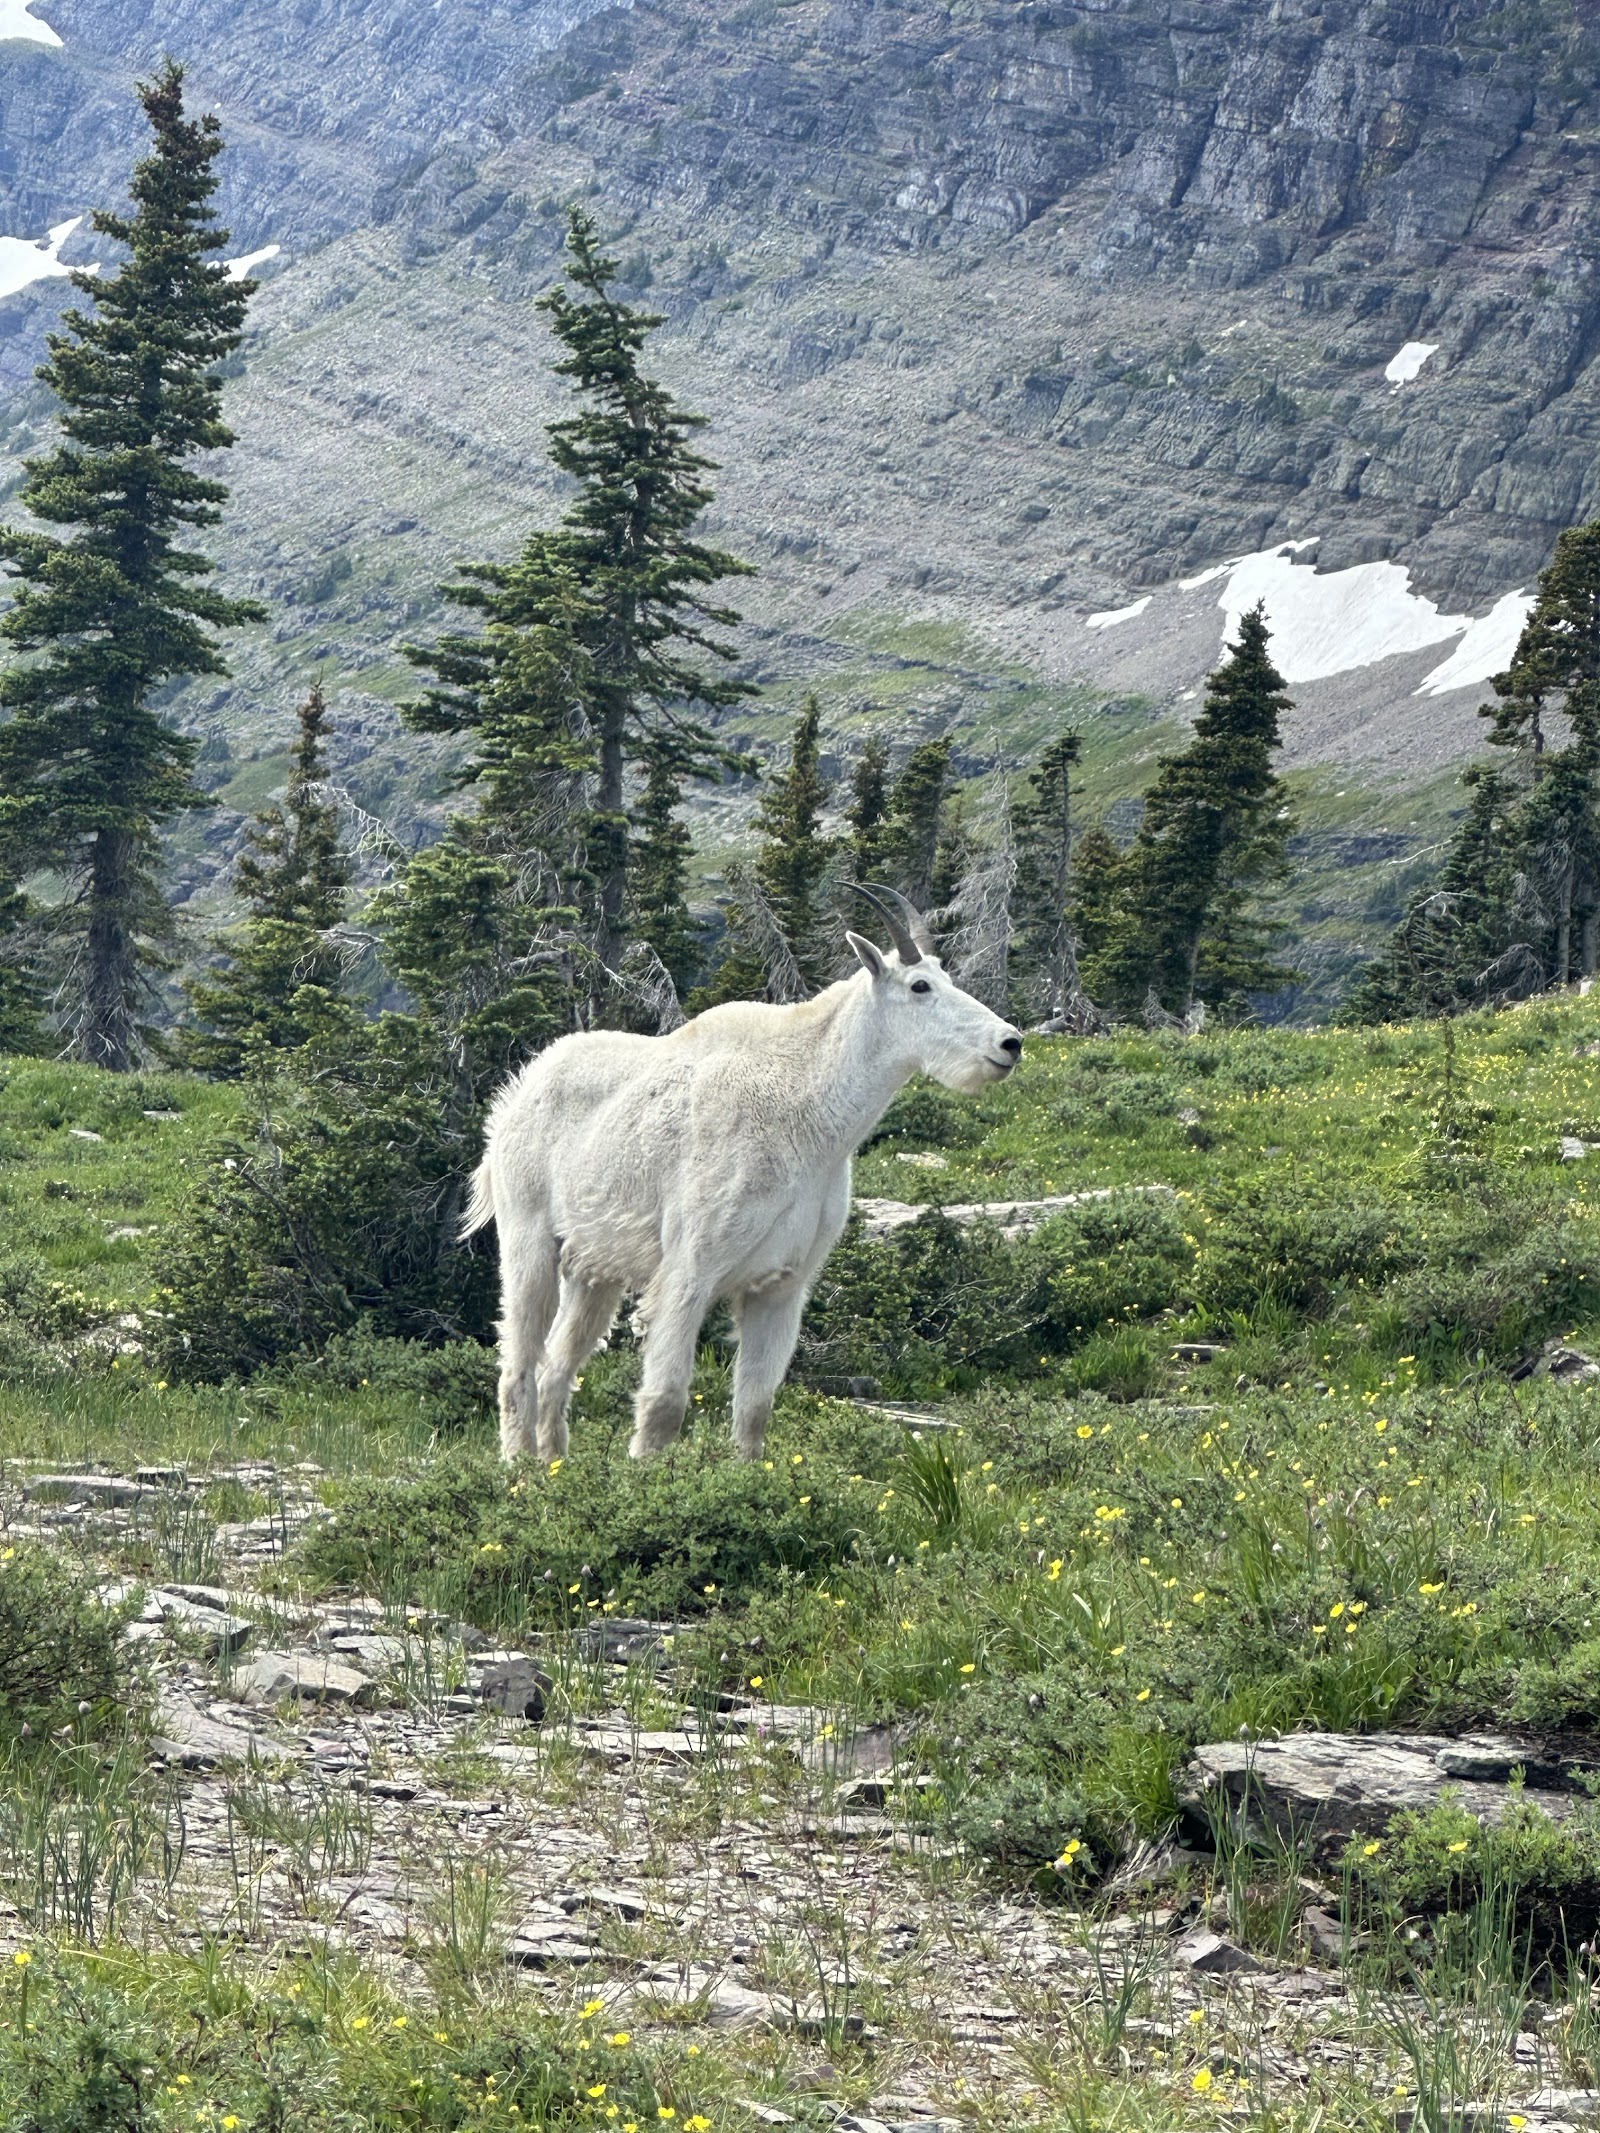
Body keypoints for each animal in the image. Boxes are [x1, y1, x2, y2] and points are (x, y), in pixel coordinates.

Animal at [464, 888, 1023, 1462]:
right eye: (919, 986)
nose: (1010, 1043)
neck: (810, 1111)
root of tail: (512, 1101)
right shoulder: (690, 1271)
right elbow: (665, 1402)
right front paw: (642, 1471)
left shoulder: (782, 1285)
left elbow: (754, 1408)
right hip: (528, 1238)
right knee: (518, 1364)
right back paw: (519, 1466)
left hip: (593, 1267)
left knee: (557, 1365)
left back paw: (554, 1462)